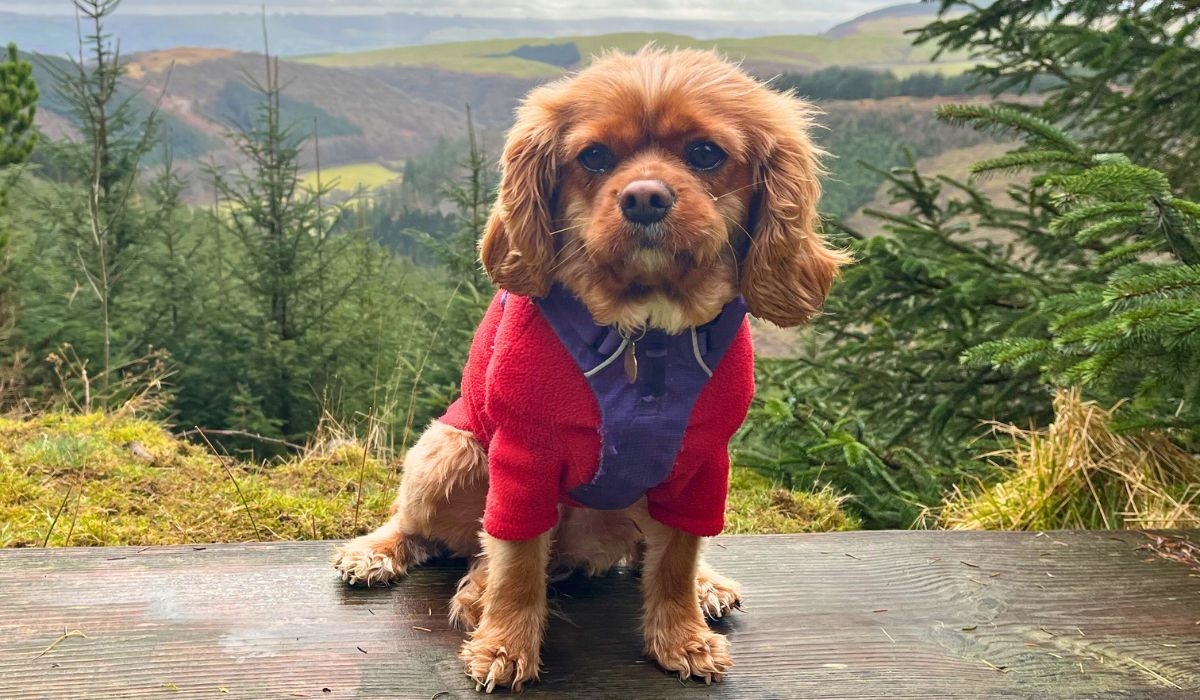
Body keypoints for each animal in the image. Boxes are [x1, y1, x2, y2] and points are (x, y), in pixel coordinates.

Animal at [333, 46, 849, 691]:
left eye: (706, 154)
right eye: (594, 157)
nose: (645, 197)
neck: (644, 334)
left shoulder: (701, 464)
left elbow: (677, 559)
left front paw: (681, 636)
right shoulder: (524, 456)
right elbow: (517, 561)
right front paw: (504, 644)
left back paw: (704, 586)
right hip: (451, 449)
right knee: (436, 532)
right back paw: (397, 561)